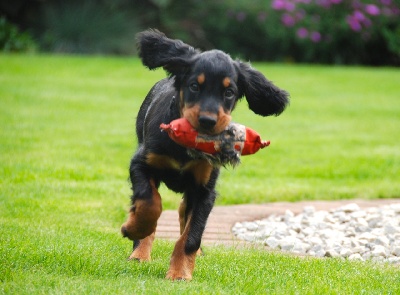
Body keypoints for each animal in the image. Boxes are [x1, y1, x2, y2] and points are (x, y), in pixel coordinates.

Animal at [120, 30, 290, 282]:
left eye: (229, 92)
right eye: (194, 86)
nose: (208, 121)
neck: (185, 146)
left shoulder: (205, 190)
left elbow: (191, 235)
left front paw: (180, 272)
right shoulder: (141, 163)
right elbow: (149, 203)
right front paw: (136, 229)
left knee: (184, 210)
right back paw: (140, 253)